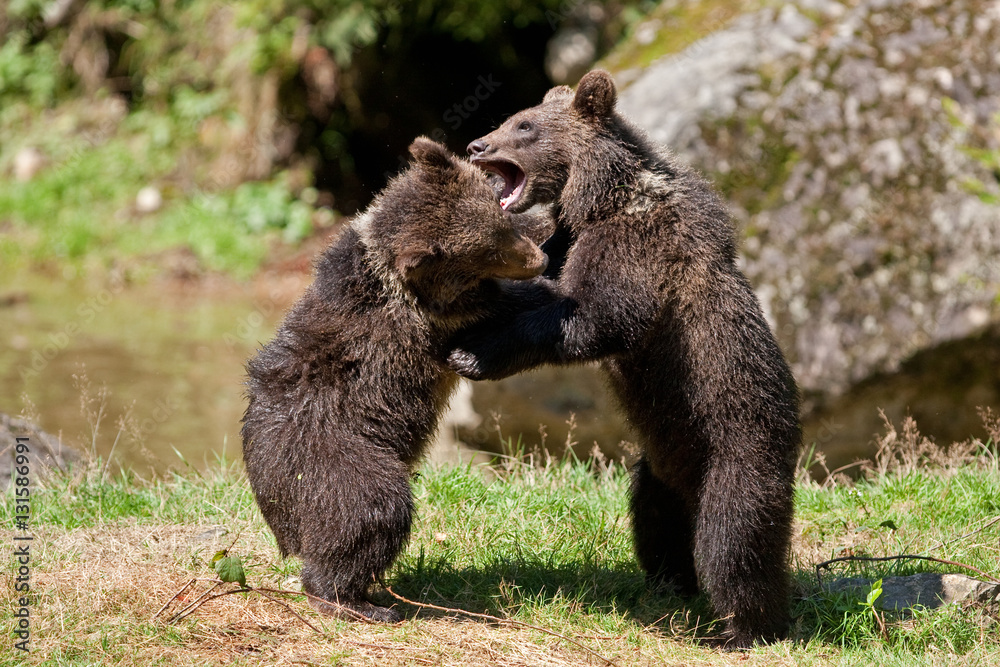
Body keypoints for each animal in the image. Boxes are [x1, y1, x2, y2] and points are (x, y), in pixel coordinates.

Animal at [241, 137, 552, 623]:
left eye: (500, 220)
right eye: (485, 250)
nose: (539, 260)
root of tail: (279, 519)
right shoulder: (433, 324)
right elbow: (501, 306)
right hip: (336, 458)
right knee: (371, 511)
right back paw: (357, 601)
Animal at [449, 70, 801, 647]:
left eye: (524, 126)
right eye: (511, 118)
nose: (478, 145)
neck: (600, 200)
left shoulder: (635, 249)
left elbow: (598, 317)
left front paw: (476, 353)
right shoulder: (563, 242)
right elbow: (537, 281)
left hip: (738, 442)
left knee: (735, 538)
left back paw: (746, 627)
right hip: (664, 457)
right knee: (656, 519)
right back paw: (668, 585)